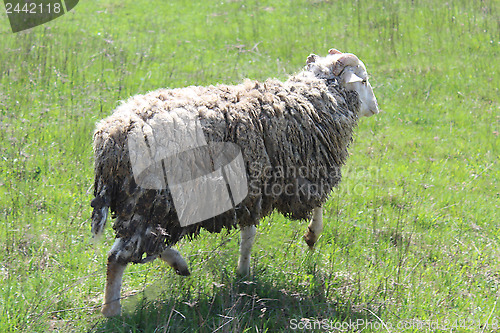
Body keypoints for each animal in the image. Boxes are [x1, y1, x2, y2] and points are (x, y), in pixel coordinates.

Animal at [91, 48, 378, 316]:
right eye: (363, 80)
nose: (376, 108)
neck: (314, 98)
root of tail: (112, 135)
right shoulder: (304, 174)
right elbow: (318, 206)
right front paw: (311, 235)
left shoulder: (253, 188)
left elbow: (248, 235)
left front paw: (243, 272)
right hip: (153, 199)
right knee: (121, 255)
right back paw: (113, 310)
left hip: (144, 202)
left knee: (139, 245)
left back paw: (177, 266)